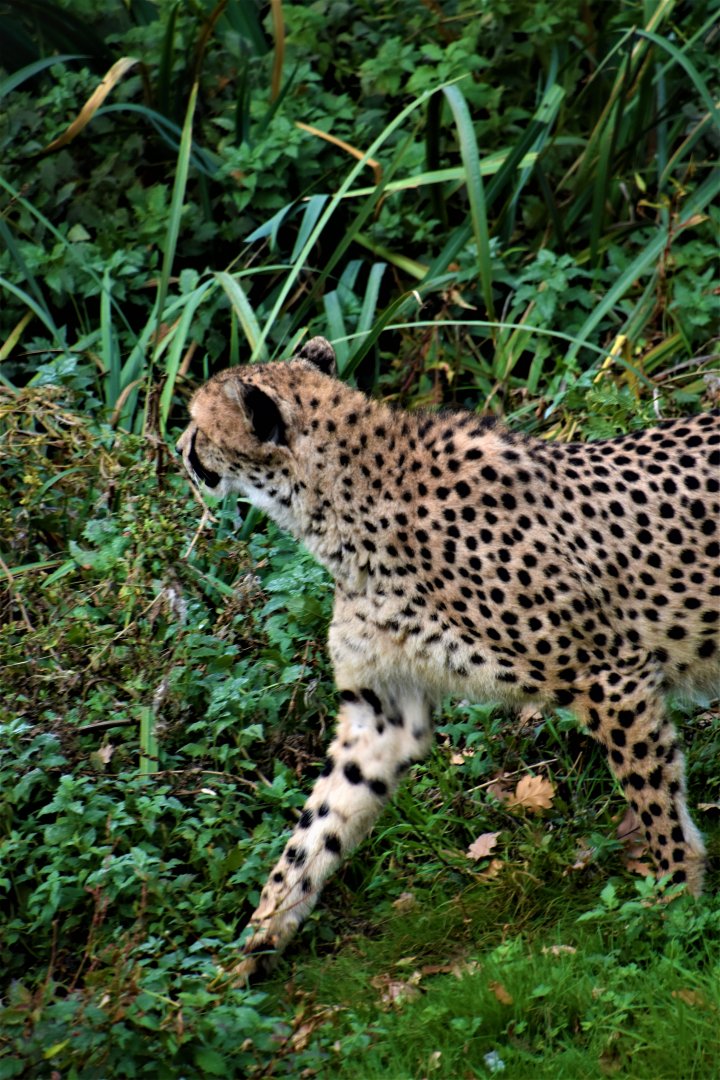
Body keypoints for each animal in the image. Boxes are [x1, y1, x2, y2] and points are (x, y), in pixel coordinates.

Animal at [177, 336, 719, 979]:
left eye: (197, 421)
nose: (179, 449)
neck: (346, 511)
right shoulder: (380, 716)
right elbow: (316, 828)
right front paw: (259, 941)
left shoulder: (610, 675)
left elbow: (655, 801)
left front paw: (677, 901)